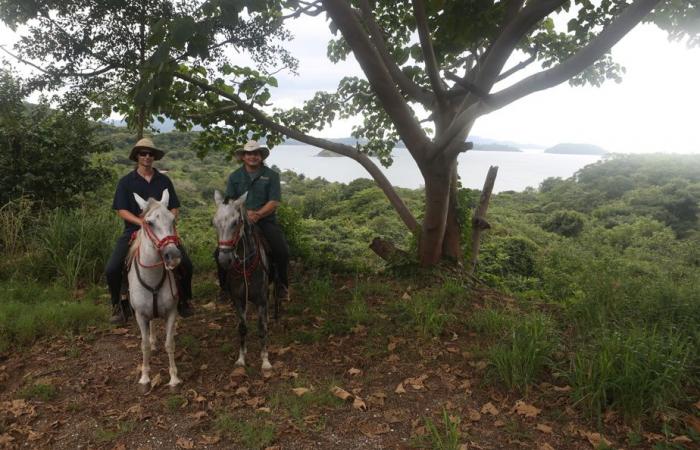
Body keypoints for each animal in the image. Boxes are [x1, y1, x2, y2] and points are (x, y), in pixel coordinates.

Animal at [129, 188, 182, 392]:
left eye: (173, 220)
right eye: (149, 223)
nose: (173, 255)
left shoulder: (172, 312)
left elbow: (170, 344)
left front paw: (174, 379)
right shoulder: (140, 315)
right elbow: (143, 345)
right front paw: (145, 378)